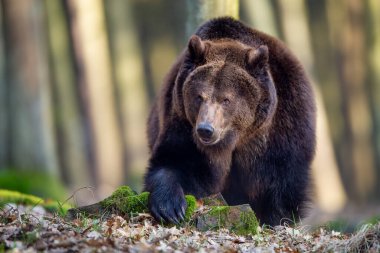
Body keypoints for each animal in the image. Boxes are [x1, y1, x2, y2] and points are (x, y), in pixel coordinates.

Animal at [142, 17, 314, 225]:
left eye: (226, 99)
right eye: (199, 96)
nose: (206, 129)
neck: (235, 139)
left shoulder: (280, 127)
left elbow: (280, 180)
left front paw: (277, 219)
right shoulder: (182, 122)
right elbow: (176, 160)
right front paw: (170, 207)